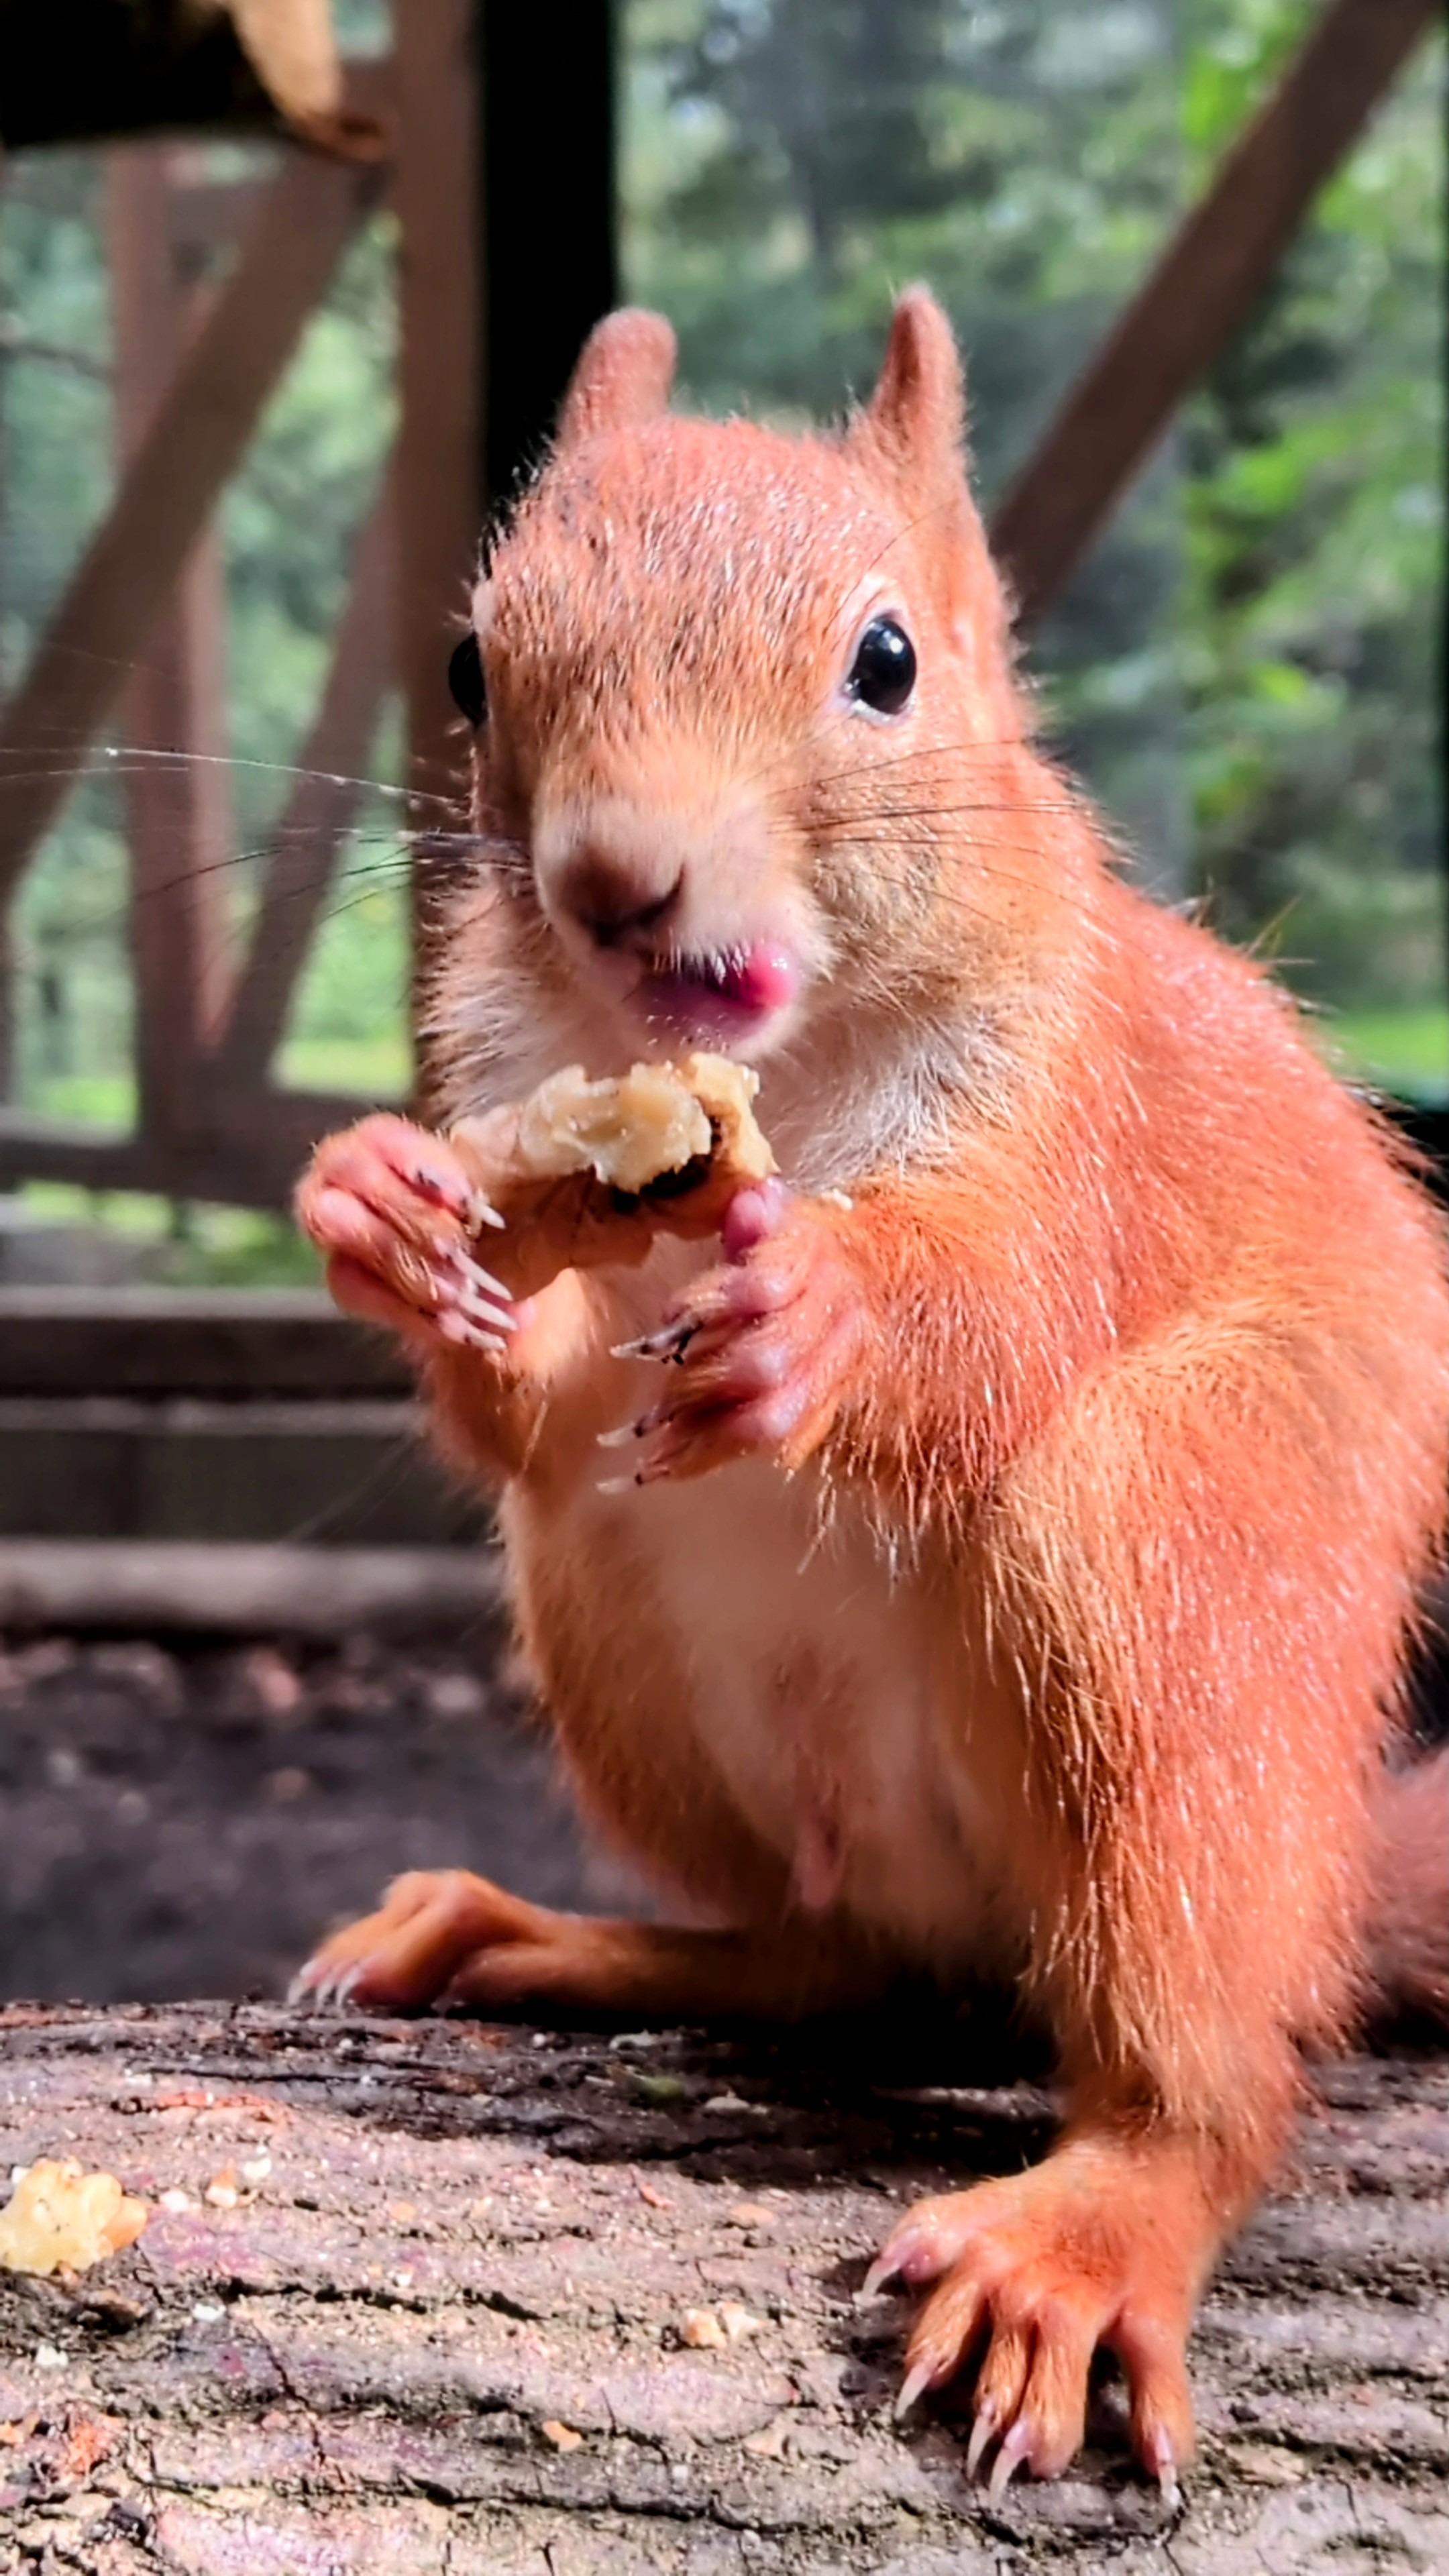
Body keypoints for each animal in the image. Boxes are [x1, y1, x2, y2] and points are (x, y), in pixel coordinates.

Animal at [293, 289, 1449, 2499]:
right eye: (475, 663)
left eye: (888, 662)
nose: (617, 878)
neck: (798, 1074)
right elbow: (534, 1410)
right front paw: (376, 1203)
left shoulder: (1082, 1113)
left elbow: (999, 1307)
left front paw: (835, 1310)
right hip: (616, 1621)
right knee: (822, 1954)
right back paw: (545, 1937)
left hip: (1167, 1558)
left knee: (1202, 2062)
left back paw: (1102, 2218)